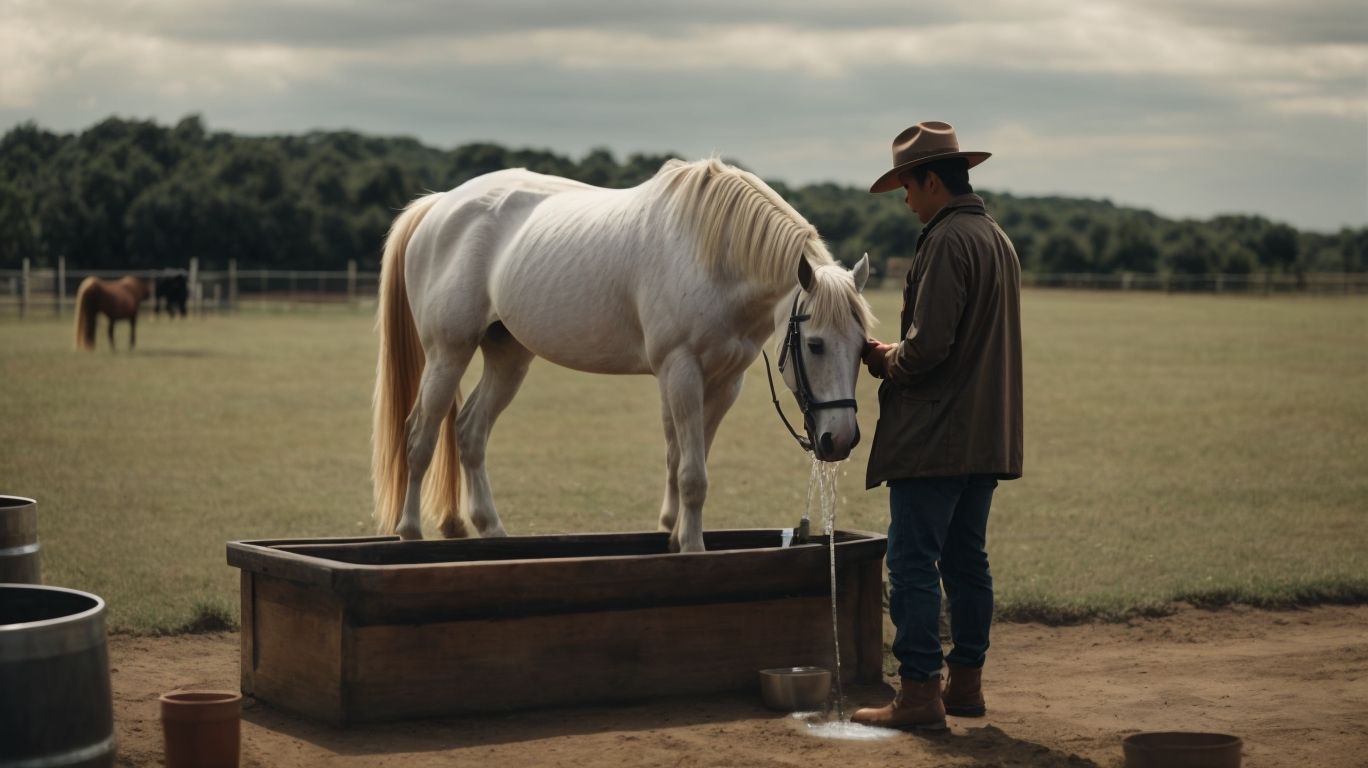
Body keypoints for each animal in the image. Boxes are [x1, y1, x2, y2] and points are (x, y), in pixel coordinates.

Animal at [371, 158, 874, 552]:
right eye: (815, 344)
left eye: (863, 347)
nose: (840, 439)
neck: (712, 255)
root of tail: (439, 206)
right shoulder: (681, 371)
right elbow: (691, 474)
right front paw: (693, 549)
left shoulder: (724, 382)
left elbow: (685, 462)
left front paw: (675, 536)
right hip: (447, 354)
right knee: (419, 438)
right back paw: (410, 534)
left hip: (508, 358)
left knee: (470, 432)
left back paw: (492, 530)